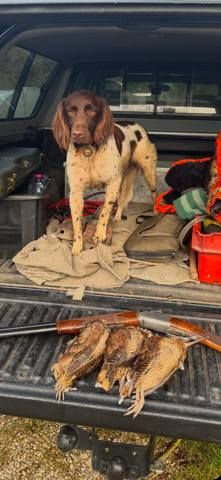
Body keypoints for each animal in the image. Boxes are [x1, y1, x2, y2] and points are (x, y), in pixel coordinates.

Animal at [52, 90, 157, 255]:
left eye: (92, 110)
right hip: (123, 178)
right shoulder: (76, 192)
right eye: (70, 111)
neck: (88, 150)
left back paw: (157, 213)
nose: (77, 134)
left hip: (148, 172)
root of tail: (139, 127)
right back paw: (117, 217)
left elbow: (104, 211)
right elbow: (76, 220)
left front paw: (99, 234)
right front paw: (77, 245)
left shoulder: (112, 183)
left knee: (154, 194)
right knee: (121, 199)